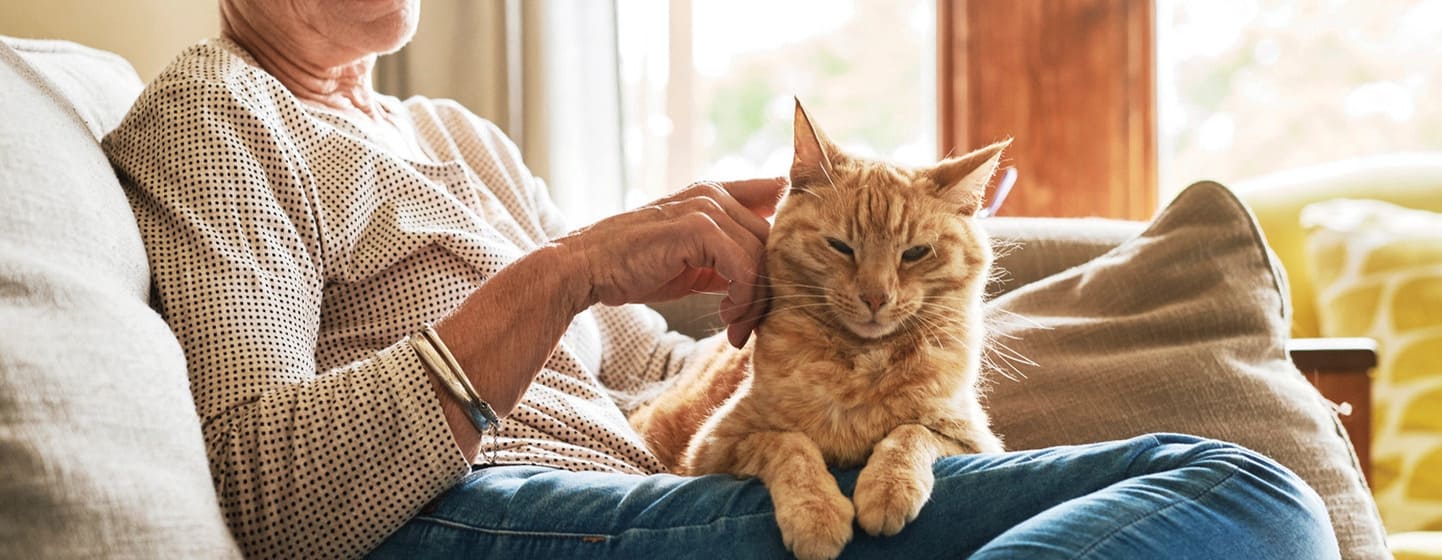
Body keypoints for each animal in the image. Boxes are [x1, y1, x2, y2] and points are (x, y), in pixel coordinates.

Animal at [628, 101, 1003, 560]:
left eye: (915, 253)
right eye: (840, 246)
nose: (876, 297)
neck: (860, 363)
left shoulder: (972, 438)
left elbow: (911, 432)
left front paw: (888, 487)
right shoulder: (713, 449)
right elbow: (790, 444)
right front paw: (817, 514)